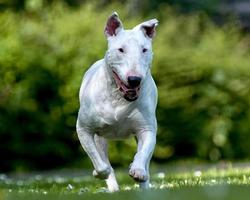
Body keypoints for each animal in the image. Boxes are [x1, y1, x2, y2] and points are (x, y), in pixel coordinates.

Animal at [76, 11, 158, 192]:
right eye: (120, 50)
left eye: (144, 49)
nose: (134, 79)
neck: (118, 97)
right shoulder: (84, 129)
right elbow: (101, 164)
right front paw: (99, 173)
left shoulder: (147, 128)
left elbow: (143, 151)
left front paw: (137, 170)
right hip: (100, 138)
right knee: (102, 157)